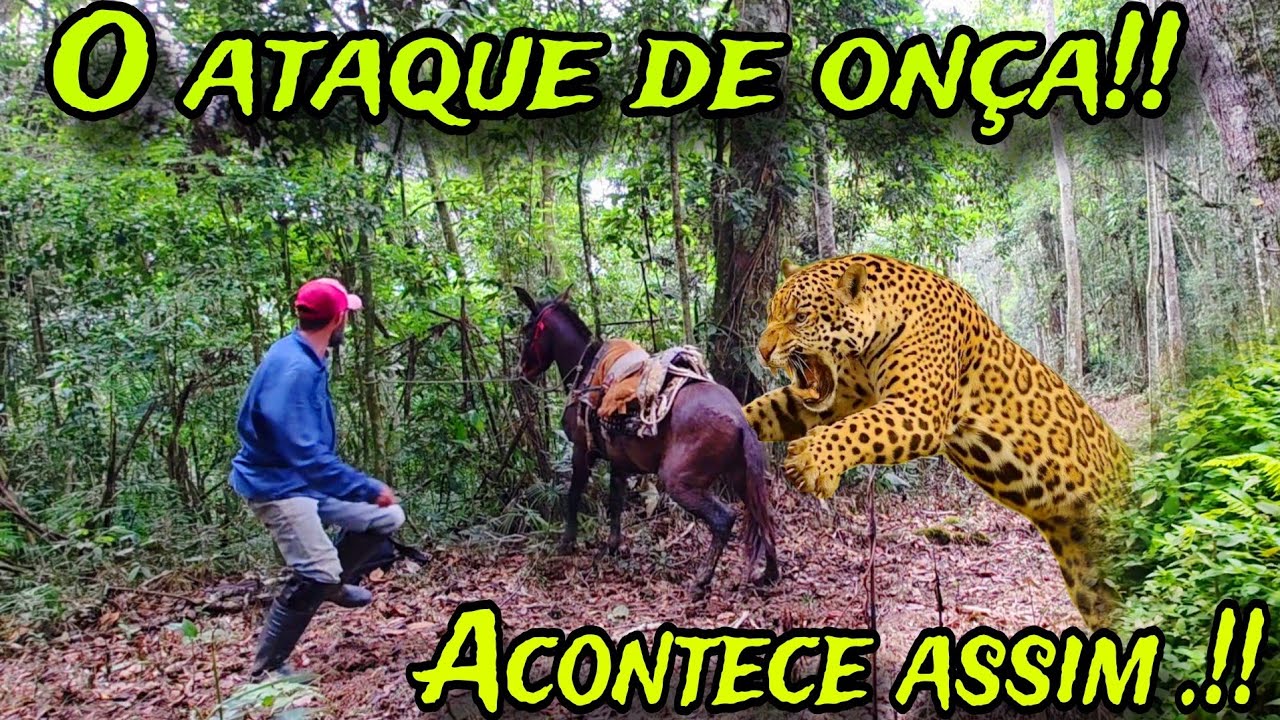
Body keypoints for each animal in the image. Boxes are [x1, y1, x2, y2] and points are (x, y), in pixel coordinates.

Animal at [743, 253, 1132, 629]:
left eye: (800, 317)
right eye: (770, 315)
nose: (761, 351)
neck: (865, 348)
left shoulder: (918, 409)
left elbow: (858, 428)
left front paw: (812, 460)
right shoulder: (839, 398)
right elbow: (769, 408)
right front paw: (735, 424)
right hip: (1091, 584)